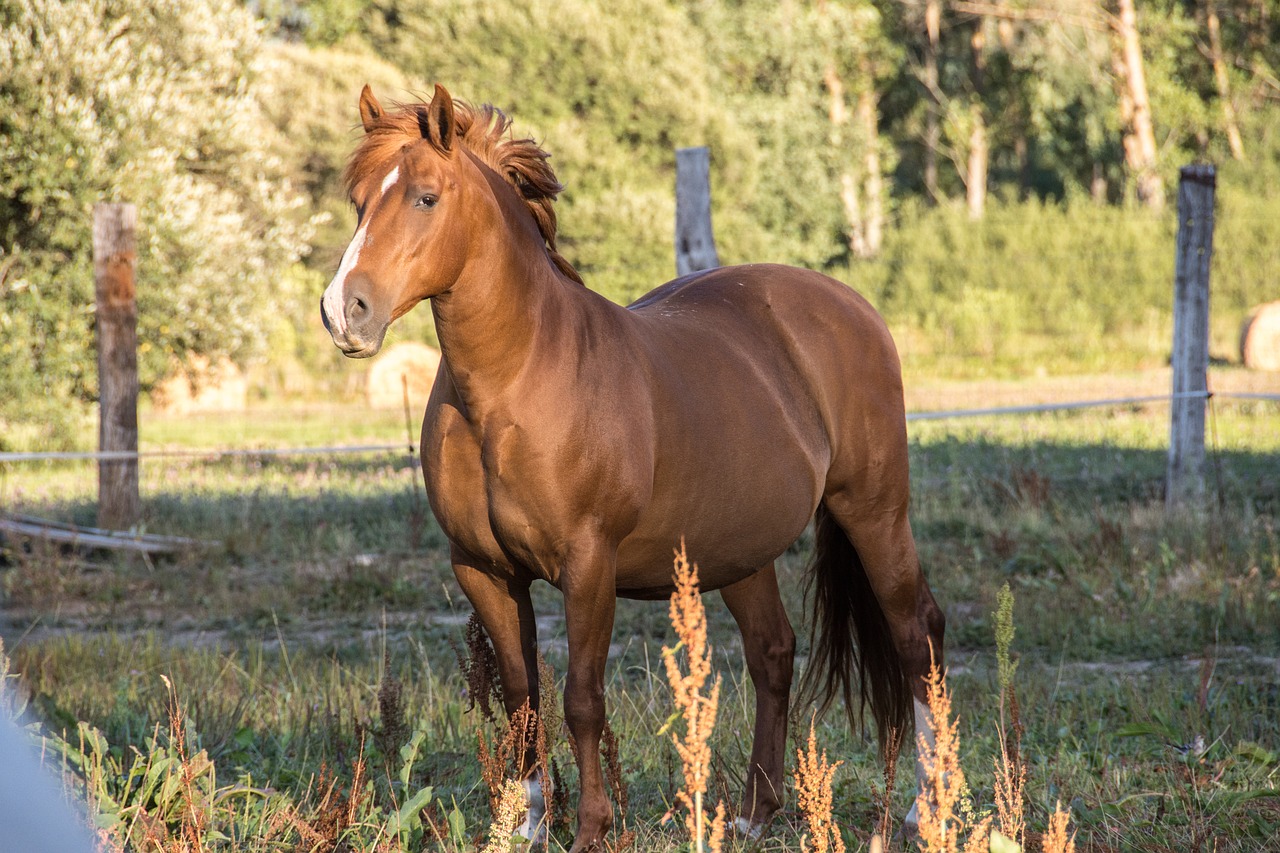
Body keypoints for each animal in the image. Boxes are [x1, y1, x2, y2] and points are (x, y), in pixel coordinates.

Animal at [317, 84, 942, 850]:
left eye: (426, 197)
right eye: (358, 203)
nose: (343, 311)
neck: (515, 380)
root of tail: (852, 307)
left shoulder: (589, 565)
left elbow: (582, 698)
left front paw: (591, 828)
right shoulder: (483, 570)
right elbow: (524, 698)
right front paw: (528, 824)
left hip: (874, 513)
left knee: (918, 635)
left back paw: (924, 806)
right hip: (739, 549)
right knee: (772, 651)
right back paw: (753, 813)